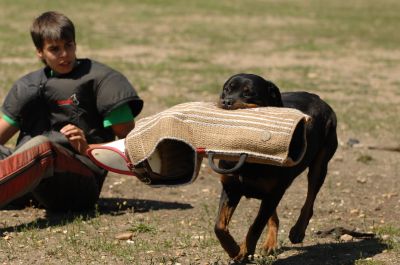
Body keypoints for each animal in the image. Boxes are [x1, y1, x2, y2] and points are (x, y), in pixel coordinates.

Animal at [214, 73, 340, 260]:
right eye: (226, 89)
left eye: (248, 92)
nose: (227, 101)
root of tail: (318, 98)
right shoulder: (231, 187)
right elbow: (219, 226)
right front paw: (234, 250)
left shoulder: (274, 192)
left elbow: (256, 226)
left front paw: (244, 251)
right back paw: (270, 244)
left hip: (320, 162)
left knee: (310, 197)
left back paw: (298, 231)